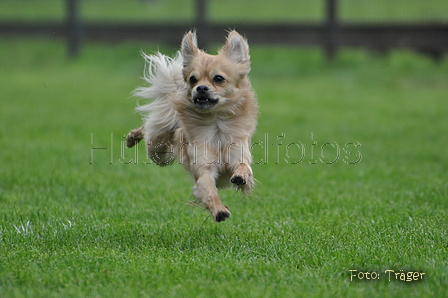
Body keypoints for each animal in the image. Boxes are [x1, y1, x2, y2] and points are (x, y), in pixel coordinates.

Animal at [126, 30, 260, 221]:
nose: (201, 88)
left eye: (218, 79)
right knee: (147, 130)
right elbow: (210, 191)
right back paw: (132, 138)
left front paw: (241, 175)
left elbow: (244, 168)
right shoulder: (204, 171)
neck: (216, 124)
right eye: (193, 79)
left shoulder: (239, 155)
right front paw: (219, 210)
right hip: (158, 149)